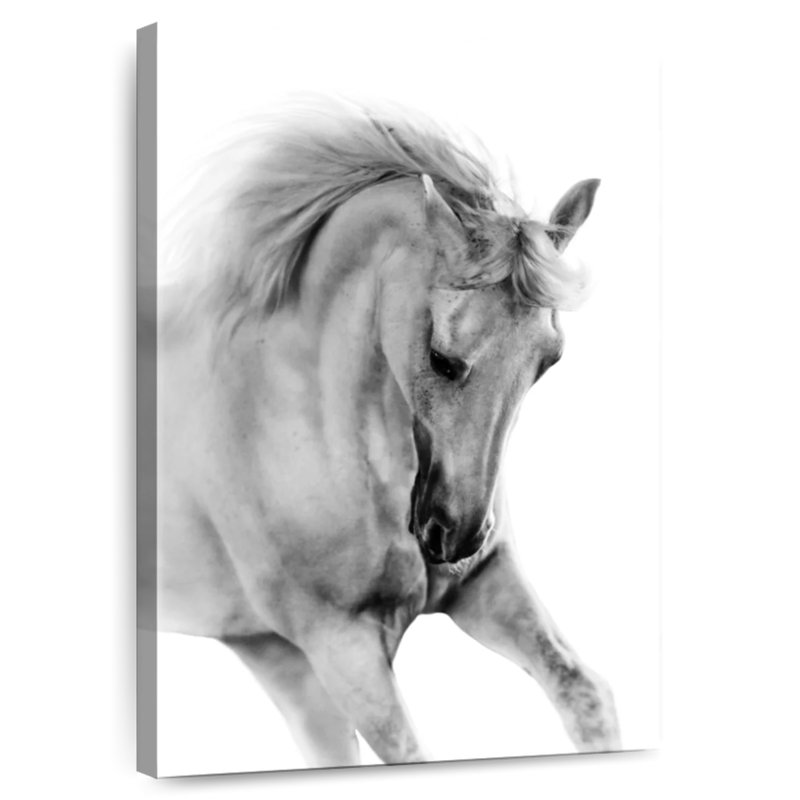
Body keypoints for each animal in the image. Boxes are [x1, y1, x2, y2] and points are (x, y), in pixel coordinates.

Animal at [155, 99, 621, 767]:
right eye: (441, 356)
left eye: (549, 360)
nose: (454, 536)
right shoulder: (342, 648)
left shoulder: (486, 583)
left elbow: (585, 694)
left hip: (271, 655)